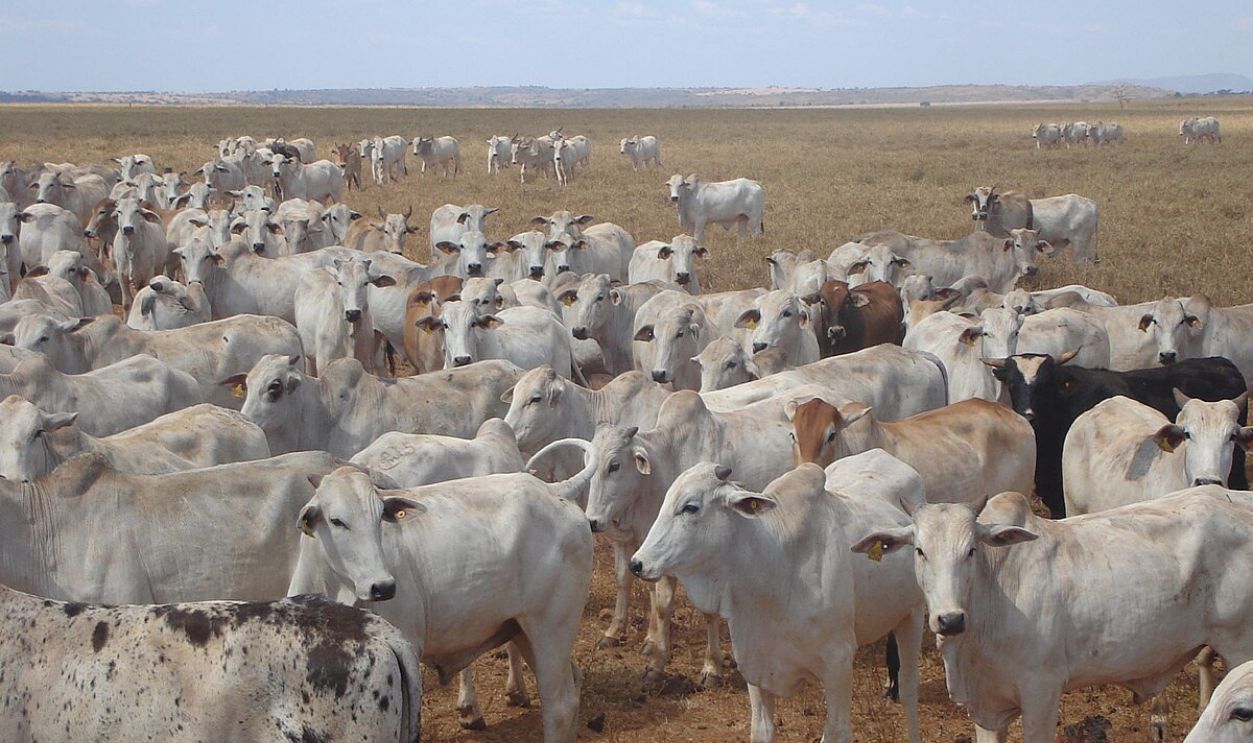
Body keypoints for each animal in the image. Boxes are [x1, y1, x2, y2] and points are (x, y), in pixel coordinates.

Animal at [287, 461, 594, 740]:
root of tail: (552, 490)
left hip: (551, 628)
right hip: (523, 631)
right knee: (574, 682)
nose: (382, 586)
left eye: (379, 519)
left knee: (559, 706)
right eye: (336, 521)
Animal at [630, 454, 926, 743]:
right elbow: (761, 730)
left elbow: (837, 732)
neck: (776, 565)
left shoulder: (839, 662)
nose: (637, 563)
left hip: (912, 616)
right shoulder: (755, 664)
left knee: (908, 688)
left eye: (690, 507)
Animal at [853, 487, 1253, 743]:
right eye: (920, 551)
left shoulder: (1041, 693)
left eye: (971, 550)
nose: (950, 620)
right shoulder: (986, 710)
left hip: (1239, 646)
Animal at [963, 186, 1101, 262]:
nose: (979, 214)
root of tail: (1091, 203)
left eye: (990, 197)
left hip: (1079, 244)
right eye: (974, 198)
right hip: (1086, 243)